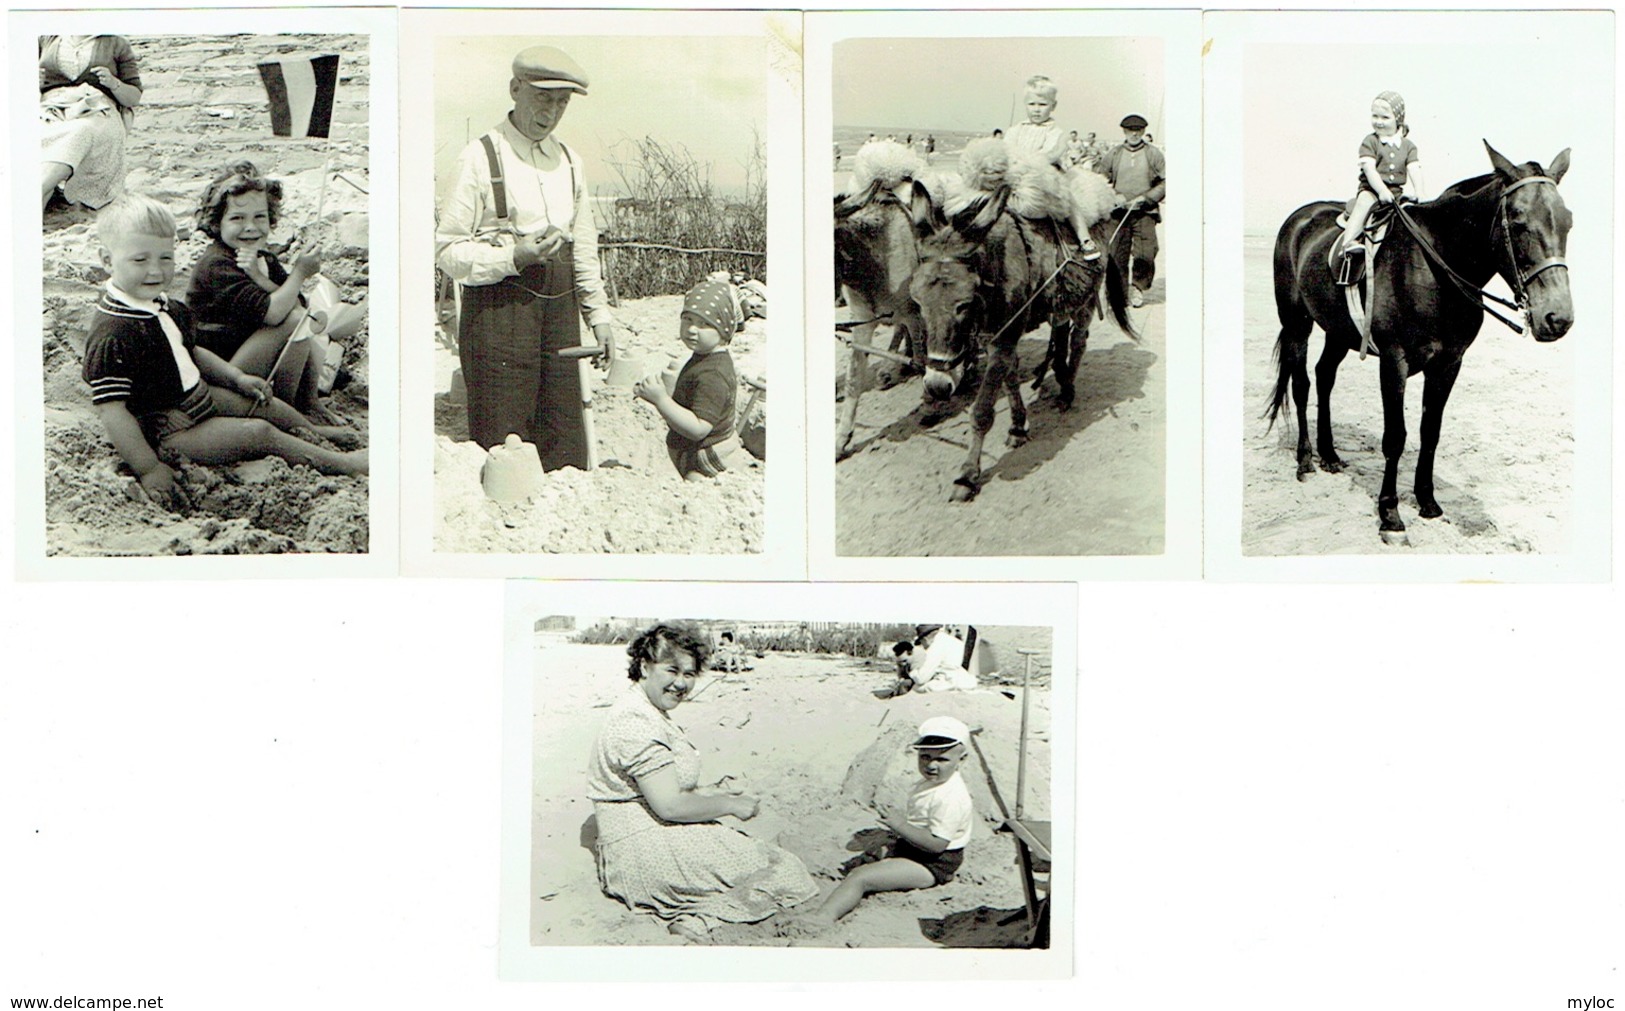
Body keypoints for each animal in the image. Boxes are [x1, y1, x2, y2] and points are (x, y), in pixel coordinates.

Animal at [916, 186, 1131, 503]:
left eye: (964, 305)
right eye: (918, 303)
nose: (937, 386)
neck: (996, 265)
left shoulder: (1003, 338)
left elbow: (982, 410)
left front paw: (967, 476)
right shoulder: (995, 336)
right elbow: (1010, 379)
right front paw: (1018, 427)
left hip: (1085, 301)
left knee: (1079, 341)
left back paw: (1068, 390)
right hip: (1060, 302)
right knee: (1061, 335)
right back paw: (1060, 376)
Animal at [1267, 143, 1573, 542]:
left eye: (1568, 221)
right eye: (1519, 222)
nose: (1558, 318)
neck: (1433, 266)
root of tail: (1300, 218)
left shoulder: (1448, 364)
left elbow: (1431, 432)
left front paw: (1427, 502)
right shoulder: (1393, 362)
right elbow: (1395, 437)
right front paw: (1390, 513)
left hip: (1338, 331)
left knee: (1324, 377)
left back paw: (1329, 455)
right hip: (1296, 324)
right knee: (1301, 384)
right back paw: (1305, 460)